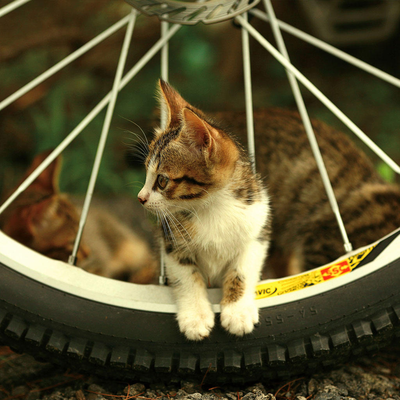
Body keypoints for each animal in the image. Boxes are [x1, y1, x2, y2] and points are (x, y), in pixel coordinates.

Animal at [138, 79, 272, 340]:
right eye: (147, 173)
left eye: (162, 181)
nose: (141, 197)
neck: (211, 207)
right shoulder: (171, 242)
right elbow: (187, 276)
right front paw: (195, 316)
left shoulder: (257, 228)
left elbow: (243, 269)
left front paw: (238, 311)